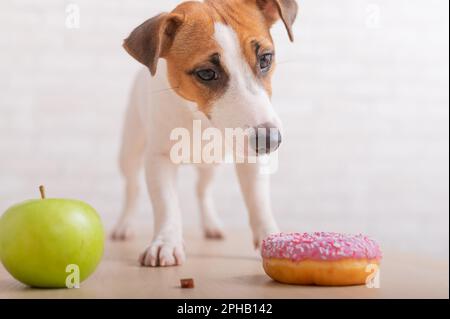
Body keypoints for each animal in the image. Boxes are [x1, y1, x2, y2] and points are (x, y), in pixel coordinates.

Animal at [110, 0, 298, 268]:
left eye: (265, 59)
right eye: (206, 73)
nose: (270, 141)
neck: (201, 120)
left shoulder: (252, 161)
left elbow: (258, 201)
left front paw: (269, 237)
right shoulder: (159, 158)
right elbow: (166, 203)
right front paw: (166, 242)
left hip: (210, 166)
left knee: (203, 190)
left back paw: (211, 225)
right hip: (130, 148)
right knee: (132, 187)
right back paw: (124, 225)